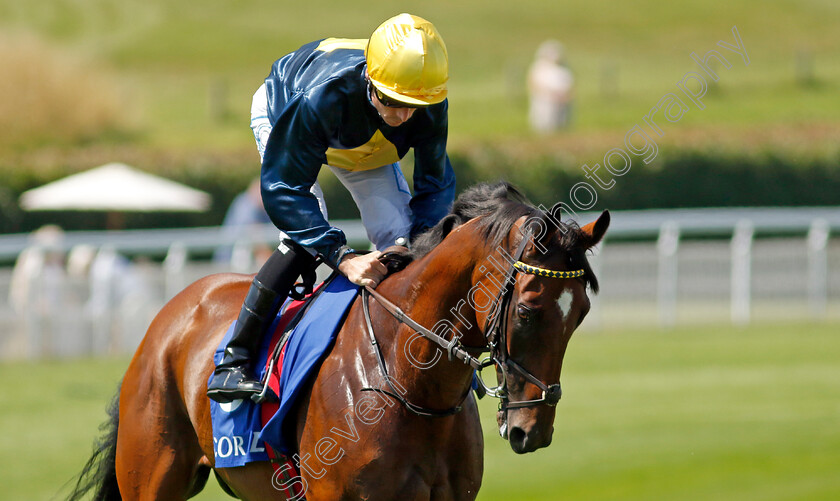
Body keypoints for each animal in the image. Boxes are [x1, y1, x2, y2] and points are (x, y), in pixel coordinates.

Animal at [70, 182, 612, 498]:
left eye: (580, 314)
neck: (410, 385)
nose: (532, 430)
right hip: (152, 475)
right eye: (528, 310)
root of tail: (167, 319)